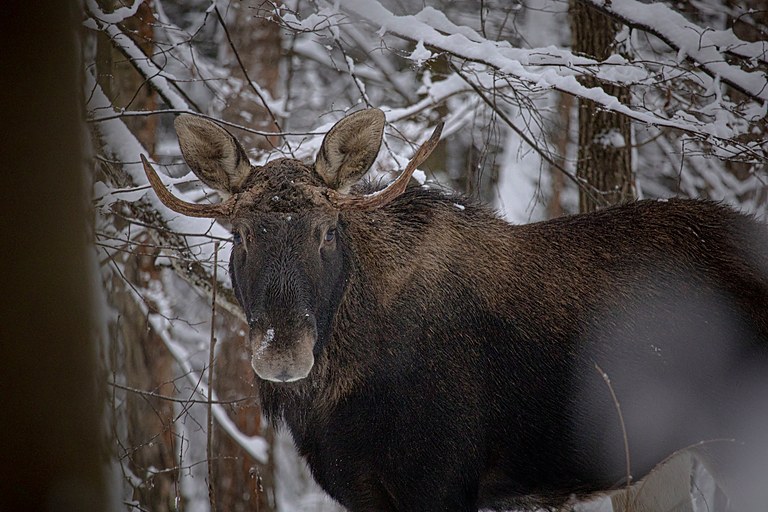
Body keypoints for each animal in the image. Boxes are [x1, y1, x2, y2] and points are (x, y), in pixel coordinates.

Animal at [141, 108, 768, 511]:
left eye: (327, 231)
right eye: (241, 235)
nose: (282, 351)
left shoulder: (440, 483)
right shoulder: (365, 493)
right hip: (661, 464)